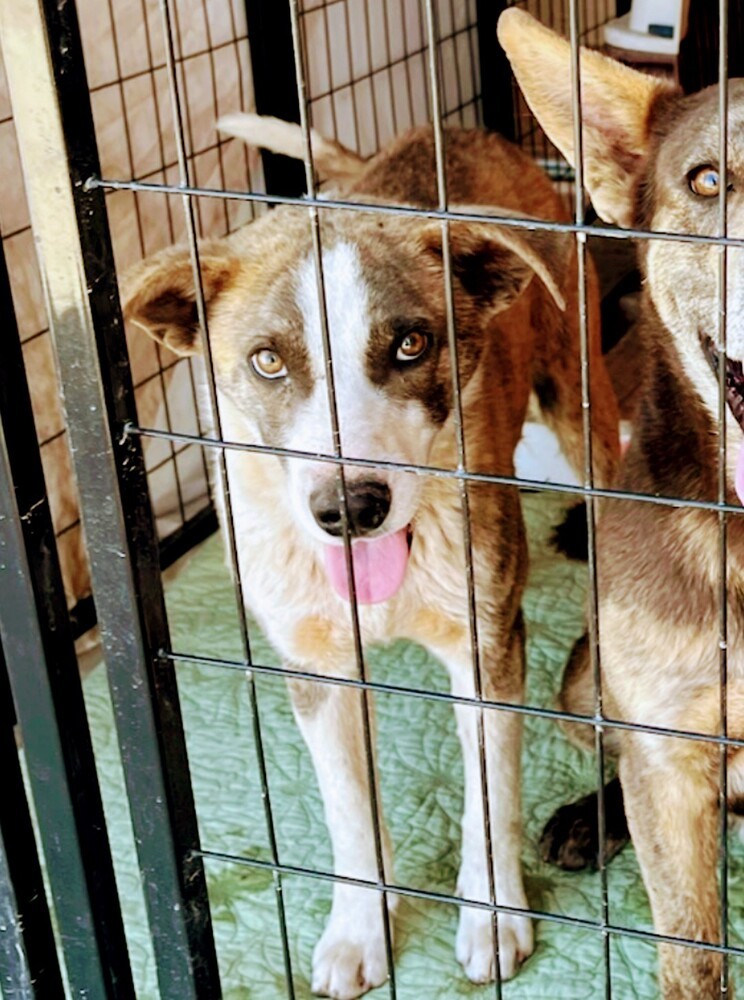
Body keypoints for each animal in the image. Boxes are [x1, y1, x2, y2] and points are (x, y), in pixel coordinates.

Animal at [123, 119, 620, 1000]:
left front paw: (492, 915)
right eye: (268, 360)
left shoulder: (487, 647)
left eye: (412, 343)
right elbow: (349, 813)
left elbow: (490, 797)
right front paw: (359, 930)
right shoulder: (315, 669)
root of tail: (451, 127)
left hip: (578, 394)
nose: (349, 509)